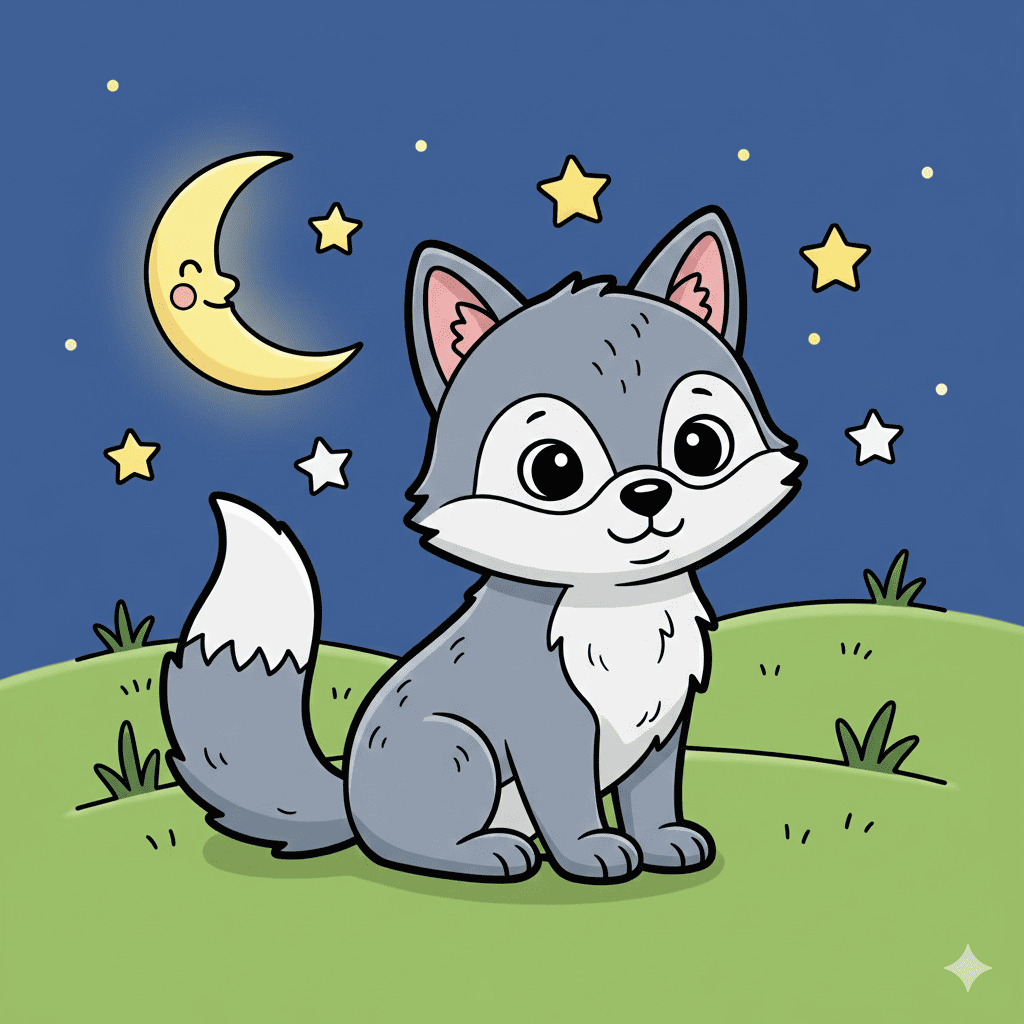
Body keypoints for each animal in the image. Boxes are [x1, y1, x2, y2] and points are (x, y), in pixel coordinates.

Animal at [161, 207, 805, 884]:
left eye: (700, 446)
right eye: (554, 469)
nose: (648, 493)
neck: (617, 610)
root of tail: (349, 799)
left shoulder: (664, 720)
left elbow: (650, 795)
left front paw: (661, 843)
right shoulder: (550, 727)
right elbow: (570, 802)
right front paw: (592, 853)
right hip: (458, 747)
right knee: (402, 844)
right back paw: (487, 853)